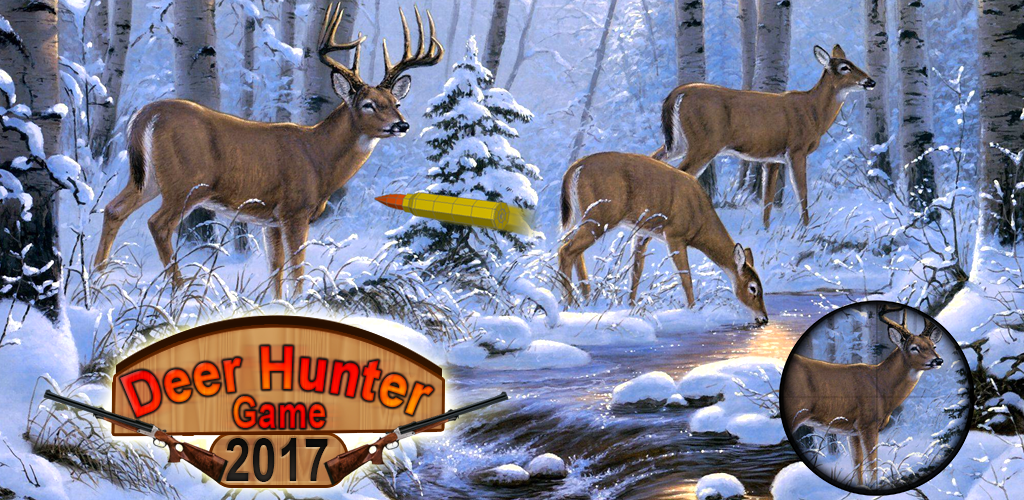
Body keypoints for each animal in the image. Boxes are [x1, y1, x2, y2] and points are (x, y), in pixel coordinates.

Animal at [92, 4, 443, 298]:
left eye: (395, 103)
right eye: (369, 105)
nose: (401, 125)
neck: (318, 157)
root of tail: (146, 113)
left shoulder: (269, 220)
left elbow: (276, 270)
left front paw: (277, 305)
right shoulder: (294, 210)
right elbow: (297, 267)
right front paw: (301, 302)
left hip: (147, 178)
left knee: (113, 209)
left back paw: (97, 280)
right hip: (185, 183)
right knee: (158, 224)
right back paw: (181, 289)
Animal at [558, 152, 769, 325]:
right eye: (753, 288)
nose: (764, 318)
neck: (700, 220)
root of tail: (574, 169)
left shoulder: (643, 233)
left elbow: (636, 271)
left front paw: (630, 305)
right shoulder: (675, 235)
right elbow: (685, 275)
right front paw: (693, 309)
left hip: (585, 216)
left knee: (573, 250)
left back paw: (585, 301)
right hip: (601, 216)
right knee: (566, 250)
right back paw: (568, 304)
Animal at [652, 45, 875, 228]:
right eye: (845, 67)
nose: (870, 81)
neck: (813, 112)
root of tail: (678, 93)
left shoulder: (772, 158)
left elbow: (767, 199)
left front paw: (766, 229)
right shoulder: (796, 150)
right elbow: (801, 192)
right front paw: (806, 227)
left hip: (678, 143)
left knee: (655, 158)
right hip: (704, 142)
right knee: (681, 172)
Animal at [781, 304, 944, 487]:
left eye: (933, 346)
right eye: (914, 348)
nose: (938, 361)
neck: (881, 387)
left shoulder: (852, 430)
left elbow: (857, 464)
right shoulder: (868, 423)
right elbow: (872, 463)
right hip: (794, 411)